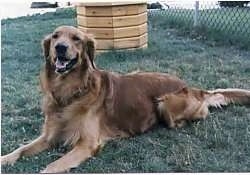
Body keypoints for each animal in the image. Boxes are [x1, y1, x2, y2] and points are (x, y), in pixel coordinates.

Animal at [1, 25, 250, 172]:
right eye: (55, 37)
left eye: (76, 39)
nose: (60, 48)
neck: (69, 92)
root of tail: (193, 87)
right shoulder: (49, 136)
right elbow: (21, 149)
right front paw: (5, 158)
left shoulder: (86, 144)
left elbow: (50, 167)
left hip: (165, 103)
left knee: (193, 116)